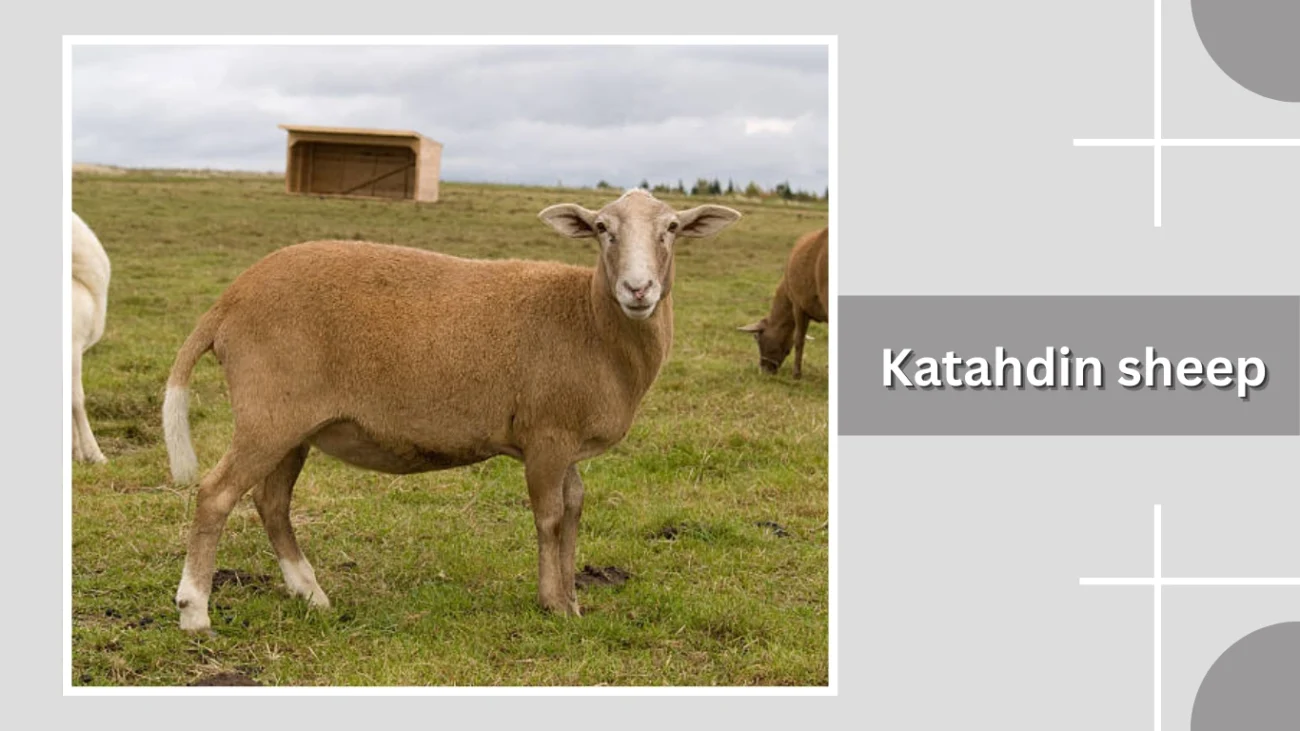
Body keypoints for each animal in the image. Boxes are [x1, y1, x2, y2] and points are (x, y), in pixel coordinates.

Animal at [162, 189, 742, 632]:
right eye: (602, 228)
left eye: (671, 228)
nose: (638, 289)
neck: (590, 321)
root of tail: (229, 300)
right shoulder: (547, 435)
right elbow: (550, 516)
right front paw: (553, 604)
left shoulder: (567, 440)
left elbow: (575, 507)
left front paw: (573, 600)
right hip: (268, 411)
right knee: (216, 494)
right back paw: (195, 611)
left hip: (293, 423)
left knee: (272, 502)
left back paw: (311, 594)